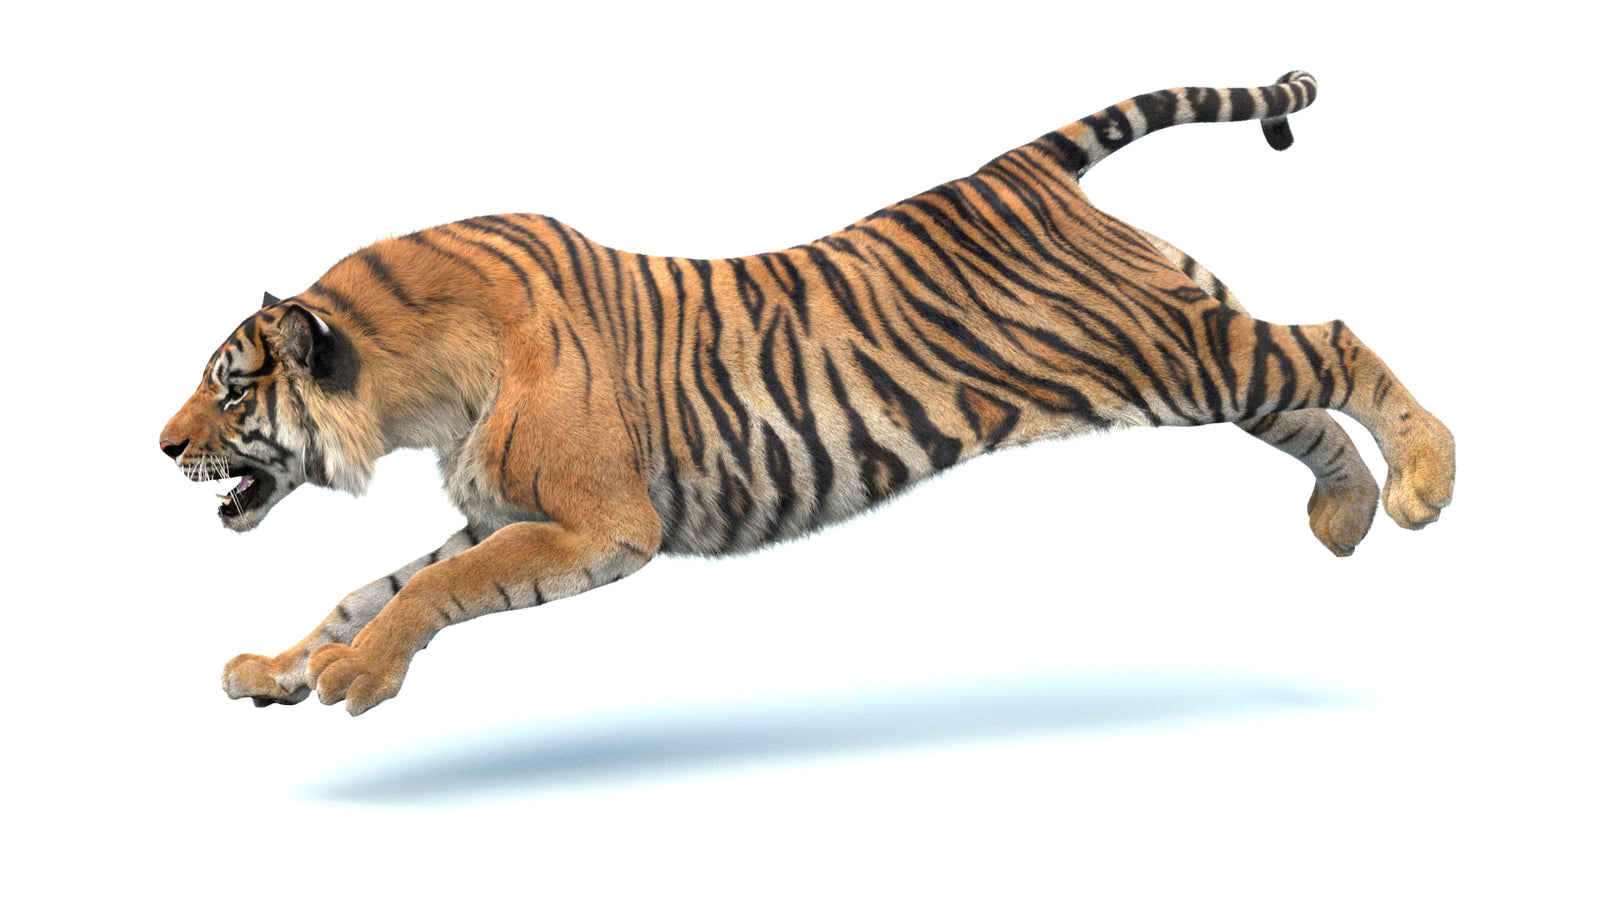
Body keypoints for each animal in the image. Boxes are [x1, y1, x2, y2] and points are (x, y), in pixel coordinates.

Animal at [160, 71, 1455, 716]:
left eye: (230, 389)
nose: (160, 446)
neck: (414, 395)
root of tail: (1023, 165)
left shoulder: (597, 523)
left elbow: (430, 593)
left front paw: (357, 678)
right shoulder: (501, 515)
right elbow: (365, 588)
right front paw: (278, 670)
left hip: (1176, 353)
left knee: (1334, 341)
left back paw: (1424, 486)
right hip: (1177, 352)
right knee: (1301, 405)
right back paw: (1345, 517)